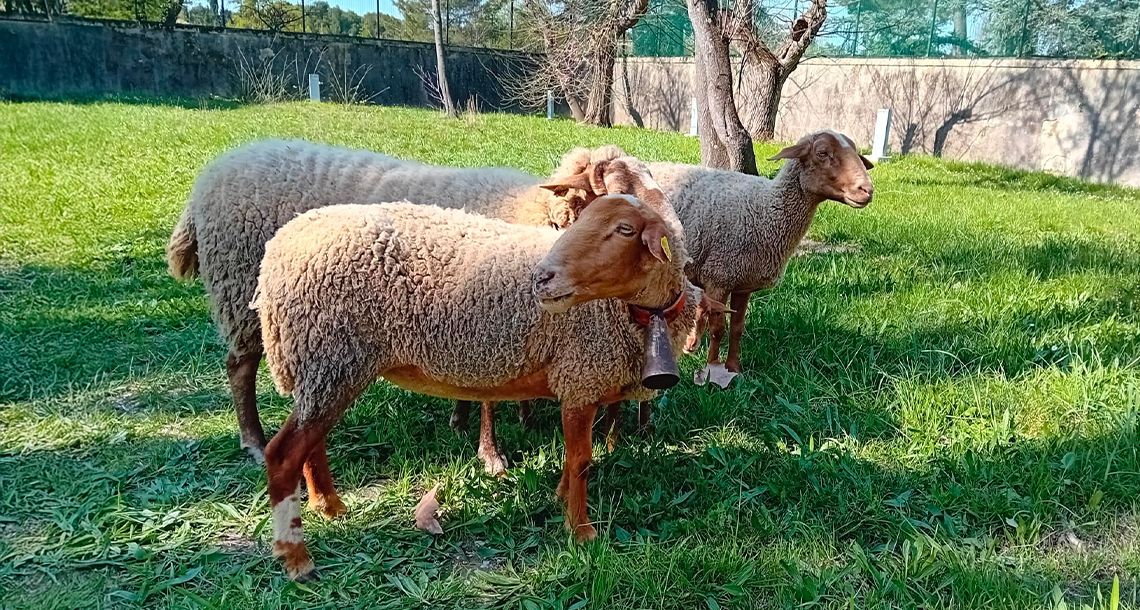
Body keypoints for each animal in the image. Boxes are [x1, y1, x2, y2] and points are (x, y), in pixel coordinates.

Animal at [165, 139, 639, 463]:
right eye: (611, 197)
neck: (526, 212)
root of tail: (208, 177)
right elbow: (486, 396)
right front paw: (491, 454)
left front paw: (497, 419)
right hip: (240, 287)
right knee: (240, 367)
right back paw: (253, 440)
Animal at [253, 194, 702, 581]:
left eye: (625, 229)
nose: (542, 278)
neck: (633, 314)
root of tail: (279, 248)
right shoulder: (579, 377)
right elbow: (581, 462)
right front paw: (581, 531)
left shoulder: (577, 380)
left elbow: (571, 459)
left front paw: (560, 498)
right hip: (334, 356)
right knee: (284, 454)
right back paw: (297, 558)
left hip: (324, 365)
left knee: (312, 441)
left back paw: (329, 507)